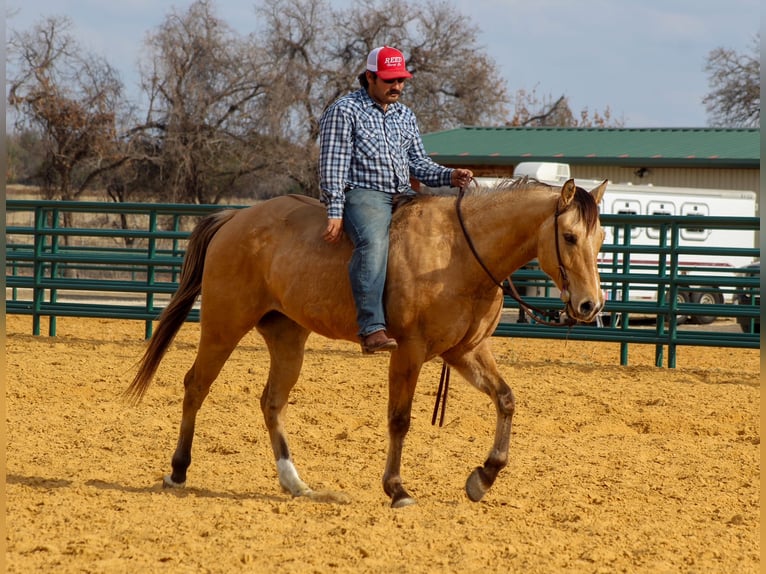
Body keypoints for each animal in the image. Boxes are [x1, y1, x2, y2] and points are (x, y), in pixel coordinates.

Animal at [126, 177, 607, 508]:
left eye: (601, 237)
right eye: (569, 236)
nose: (590, 304)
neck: (457, 254)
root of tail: (235, 218)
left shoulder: (465, 351)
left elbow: (506, 400)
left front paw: (482, 478)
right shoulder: (409, 351)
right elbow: (400, 420)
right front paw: (397, 489)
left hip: (287, 338)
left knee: (271, 402)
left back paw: (295, 482)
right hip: (223, 325)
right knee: (196, 385)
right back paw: (177, 471)